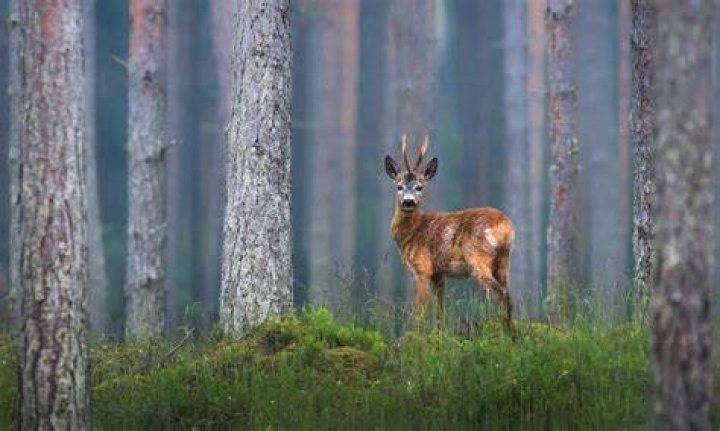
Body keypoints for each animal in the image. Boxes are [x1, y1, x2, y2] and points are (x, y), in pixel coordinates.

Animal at [383, 135, 515, 329]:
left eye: (419, 187)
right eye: (399, 186)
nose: (408, 201)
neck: (412, 233)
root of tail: (504, 225)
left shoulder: (423, 268)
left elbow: (420, 311)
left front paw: (413, 336)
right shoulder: (439, 273)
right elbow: (441, 310)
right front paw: (440, 333)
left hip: (478, 257)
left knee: (501, 294)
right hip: (504, 260)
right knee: (509, 295)